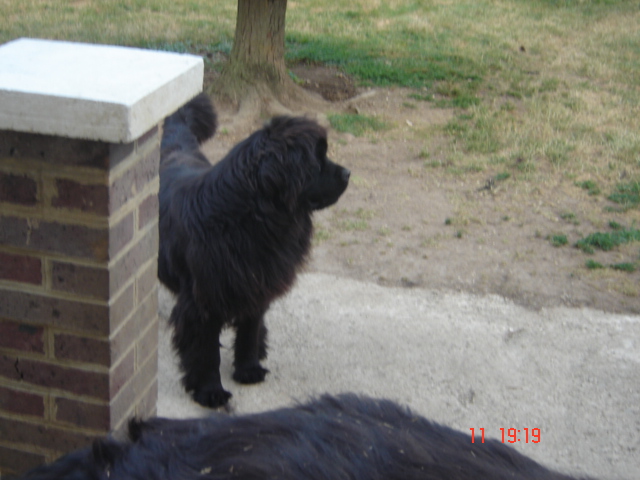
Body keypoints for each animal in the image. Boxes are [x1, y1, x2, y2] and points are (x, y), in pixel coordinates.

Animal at [158, 94, 350, 407]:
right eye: (316, 159)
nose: (348, 173)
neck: (249, 219)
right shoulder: (203, 301)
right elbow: (206, 351)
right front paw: (210, 390)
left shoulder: (255, 286)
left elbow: (249, 331)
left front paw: (248, 369)